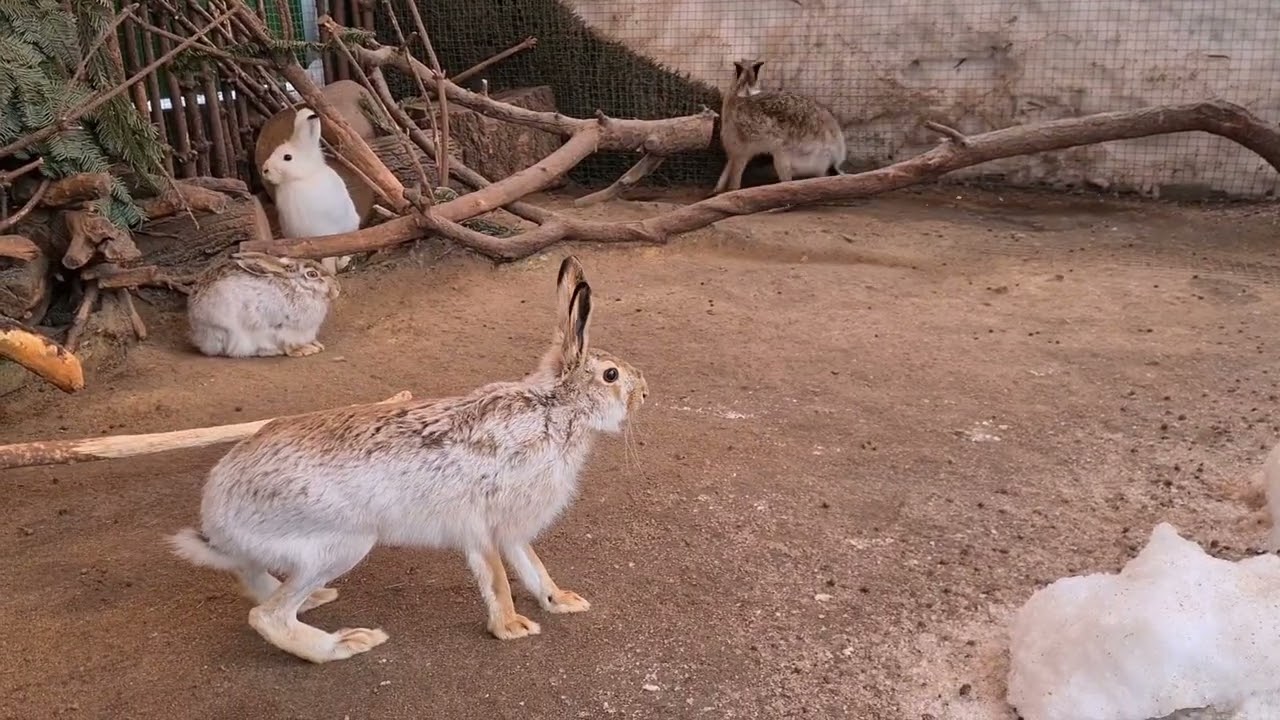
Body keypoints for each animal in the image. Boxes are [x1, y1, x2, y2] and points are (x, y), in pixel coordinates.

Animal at [187, 251, 340, 359]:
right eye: (312, 274)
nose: (337, 289)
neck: (298, 288)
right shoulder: (281, 328)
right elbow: (287, 343)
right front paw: (305, 350)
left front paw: (316, 344)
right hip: (232, 333)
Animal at [261, 107, 358, 277]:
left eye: (287, 157)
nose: (265, 170)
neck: (301, 178)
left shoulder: (327, 233)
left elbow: (328, 257)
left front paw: (329, 272)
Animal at [714, 58, 847, 194]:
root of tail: (834, 158)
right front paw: (717, 189)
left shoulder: (740, 151)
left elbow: (735, 176)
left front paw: (730, 189)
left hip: (782, 155)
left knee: (788, 181)